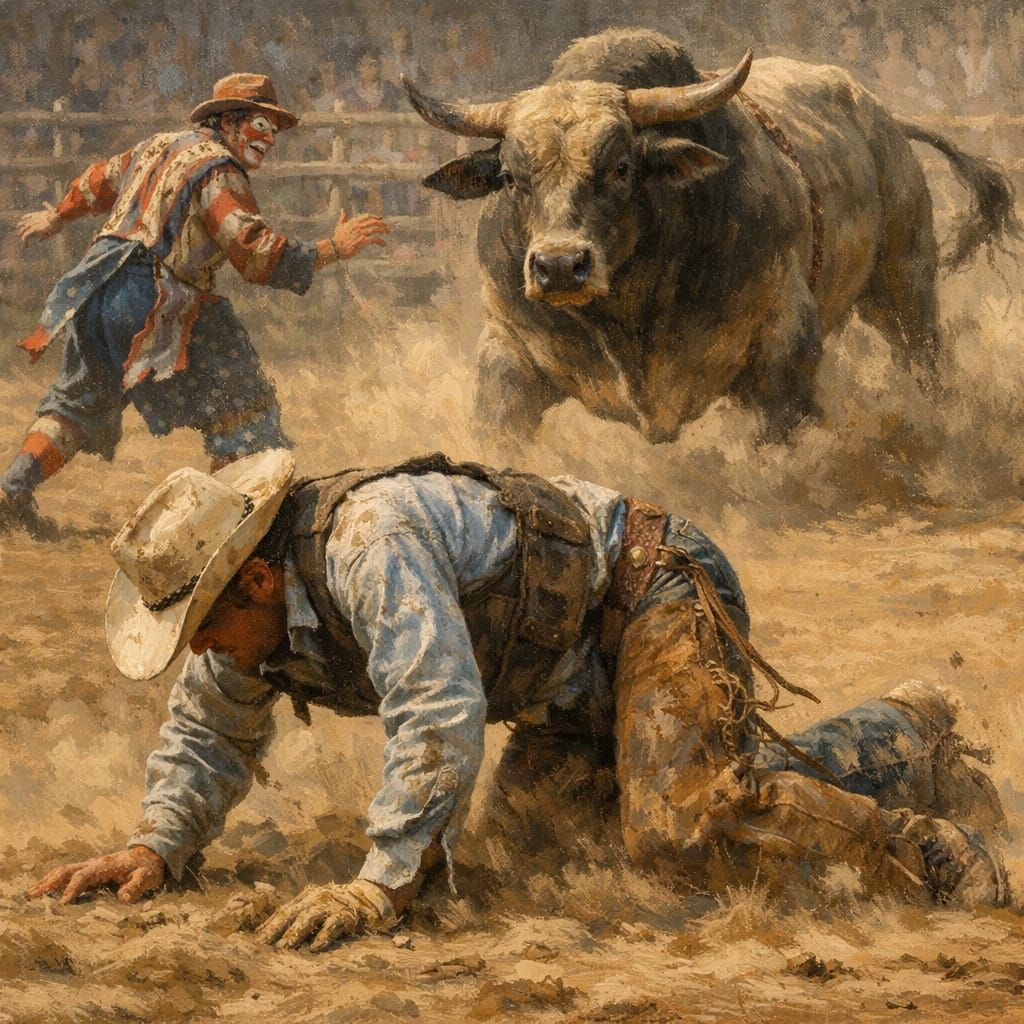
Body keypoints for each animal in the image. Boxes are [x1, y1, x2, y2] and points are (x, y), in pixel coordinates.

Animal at [403, 28, 1019, 444]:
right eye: (510, 177)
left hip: (904, 287)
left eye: (621, 168)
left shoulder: (784, 352)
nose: (558, 266)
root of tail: (882, 118)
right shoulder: (508, 351)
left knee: (924, 358)